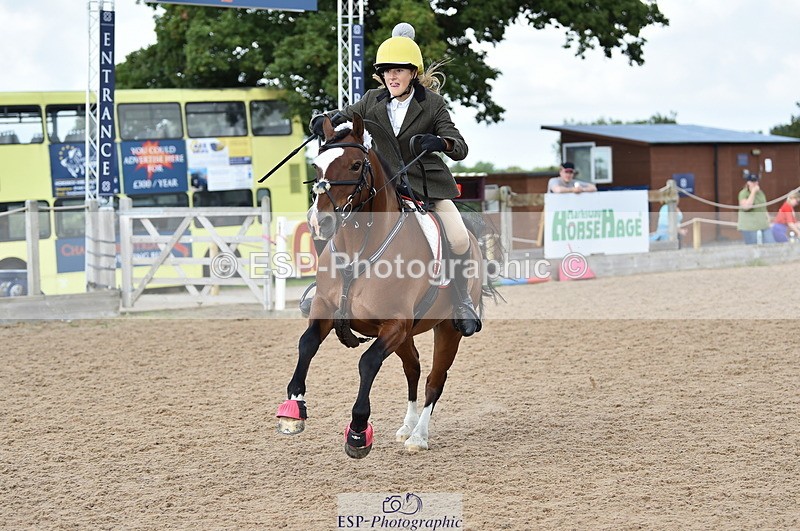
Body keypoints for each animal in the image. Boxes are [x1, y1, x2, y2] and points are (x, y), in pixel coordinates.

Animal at [275, 112, 486, 458]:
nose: (320, 222)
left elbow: (368, 362)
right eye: (317, 166)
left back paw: (418, 436)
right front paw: (293, 410)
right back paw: (406, 427)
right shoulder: (325, 310)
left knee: (434, 379)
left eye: (355, 165)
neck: (358, 248)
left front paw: (358, 431)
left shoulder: (394, 324)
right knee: (413, 369)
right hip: (407, 336)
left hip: (448, 329)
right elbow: (306, 345)